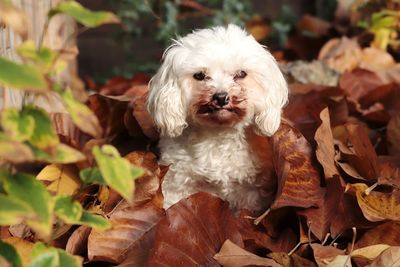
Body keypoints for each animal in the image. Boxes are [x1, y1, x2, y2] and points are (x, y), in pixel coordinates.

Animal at [147, 24, 288, 213]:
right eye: (200, 75)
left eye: (241, 74)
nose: (221, 97)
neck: (217, 135)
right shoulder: (177, 181)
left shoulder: (251, 191)